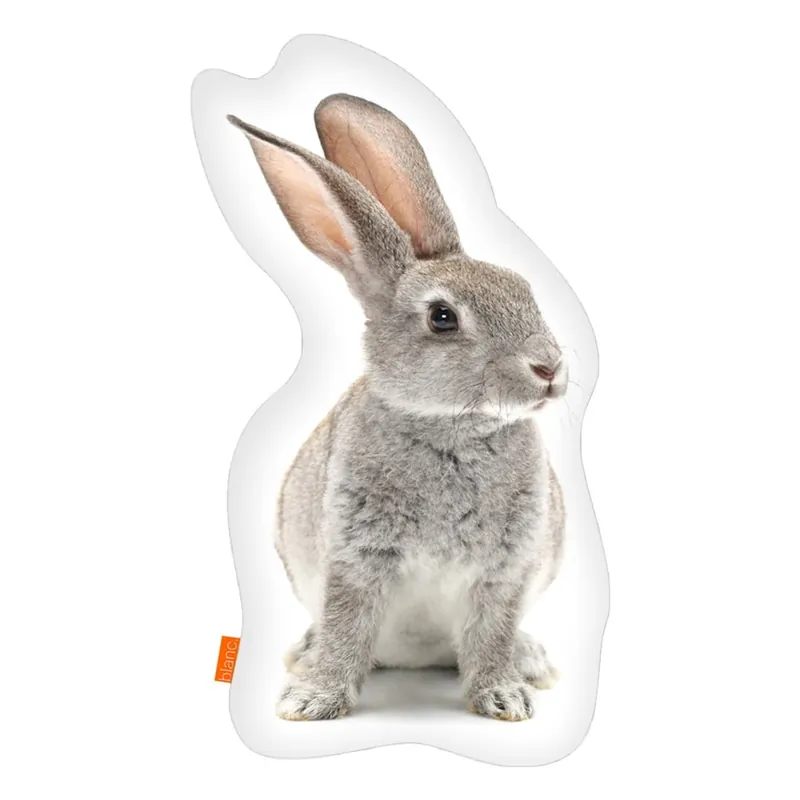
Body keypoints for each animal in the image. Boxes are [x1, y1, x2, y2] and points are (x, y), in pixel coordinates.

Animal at [228, 93, 567, 722]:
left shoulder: (506, 569)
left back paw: (531, 661)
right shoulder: (357, 556)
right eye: (442, 317)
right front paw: (312, 699)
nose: (550, 368)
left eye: (523, 289)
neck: (453, 428)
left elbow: (492, 633)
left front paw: (505, 697)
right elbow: (347, 624)